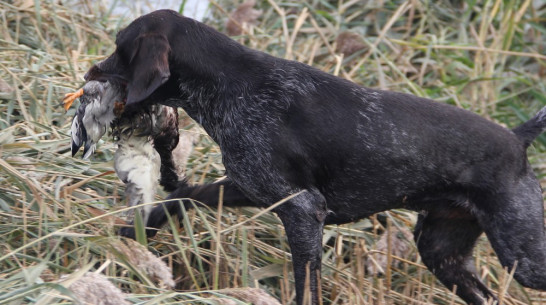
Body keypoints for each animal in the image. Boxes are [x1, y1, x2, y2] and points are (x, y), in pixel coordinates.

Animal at [84, 8, 544, 304]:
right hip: (442, 252)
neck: (230, 85)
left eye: (119, 48)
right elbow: (185, 196)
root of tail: (517, 139)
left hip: (522, 255)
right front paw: (134, 234)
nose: (89, 72)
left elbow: (307, 285)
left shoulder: (304, 210)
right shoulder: (254, 187)